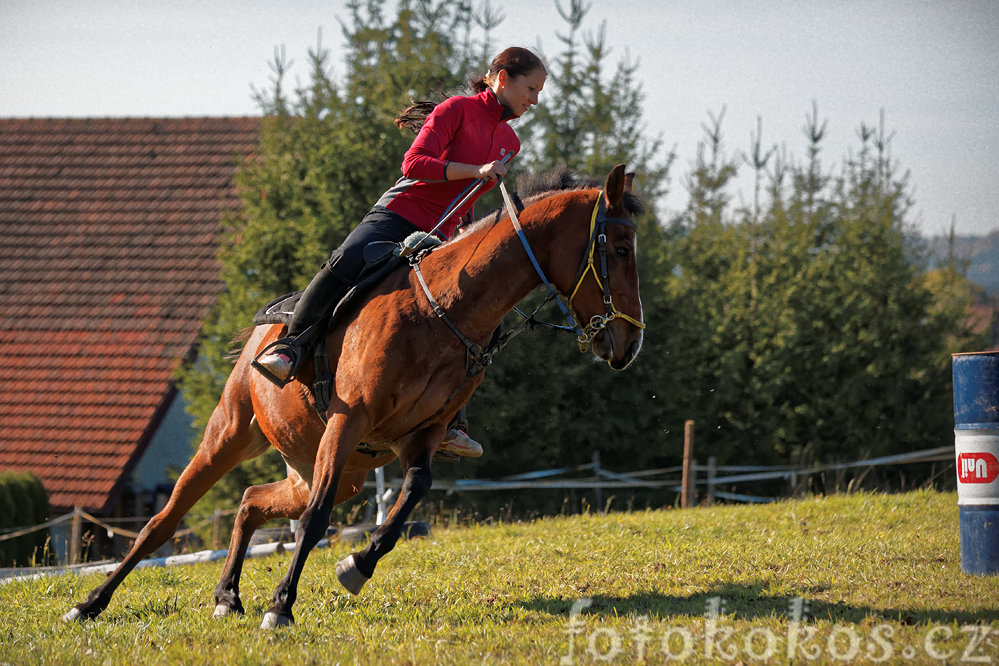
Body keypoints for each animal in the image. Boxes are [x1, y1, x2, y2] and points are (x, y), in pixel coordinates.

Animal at [62, 162, 644, 628]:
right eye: (618, 249)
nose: (629, 343)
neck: (443, 308)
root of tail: (260, 333)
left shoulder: (422, 434)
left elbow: (411, 494)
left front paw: (356, 566)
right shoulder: (349, 421)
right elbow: (317, 520)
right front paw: (282, 606)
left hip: (331, 468)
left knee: (251, 501)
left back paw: (227, 595)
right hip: (231, 436)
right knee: (163, 522)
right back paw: (90, 604)